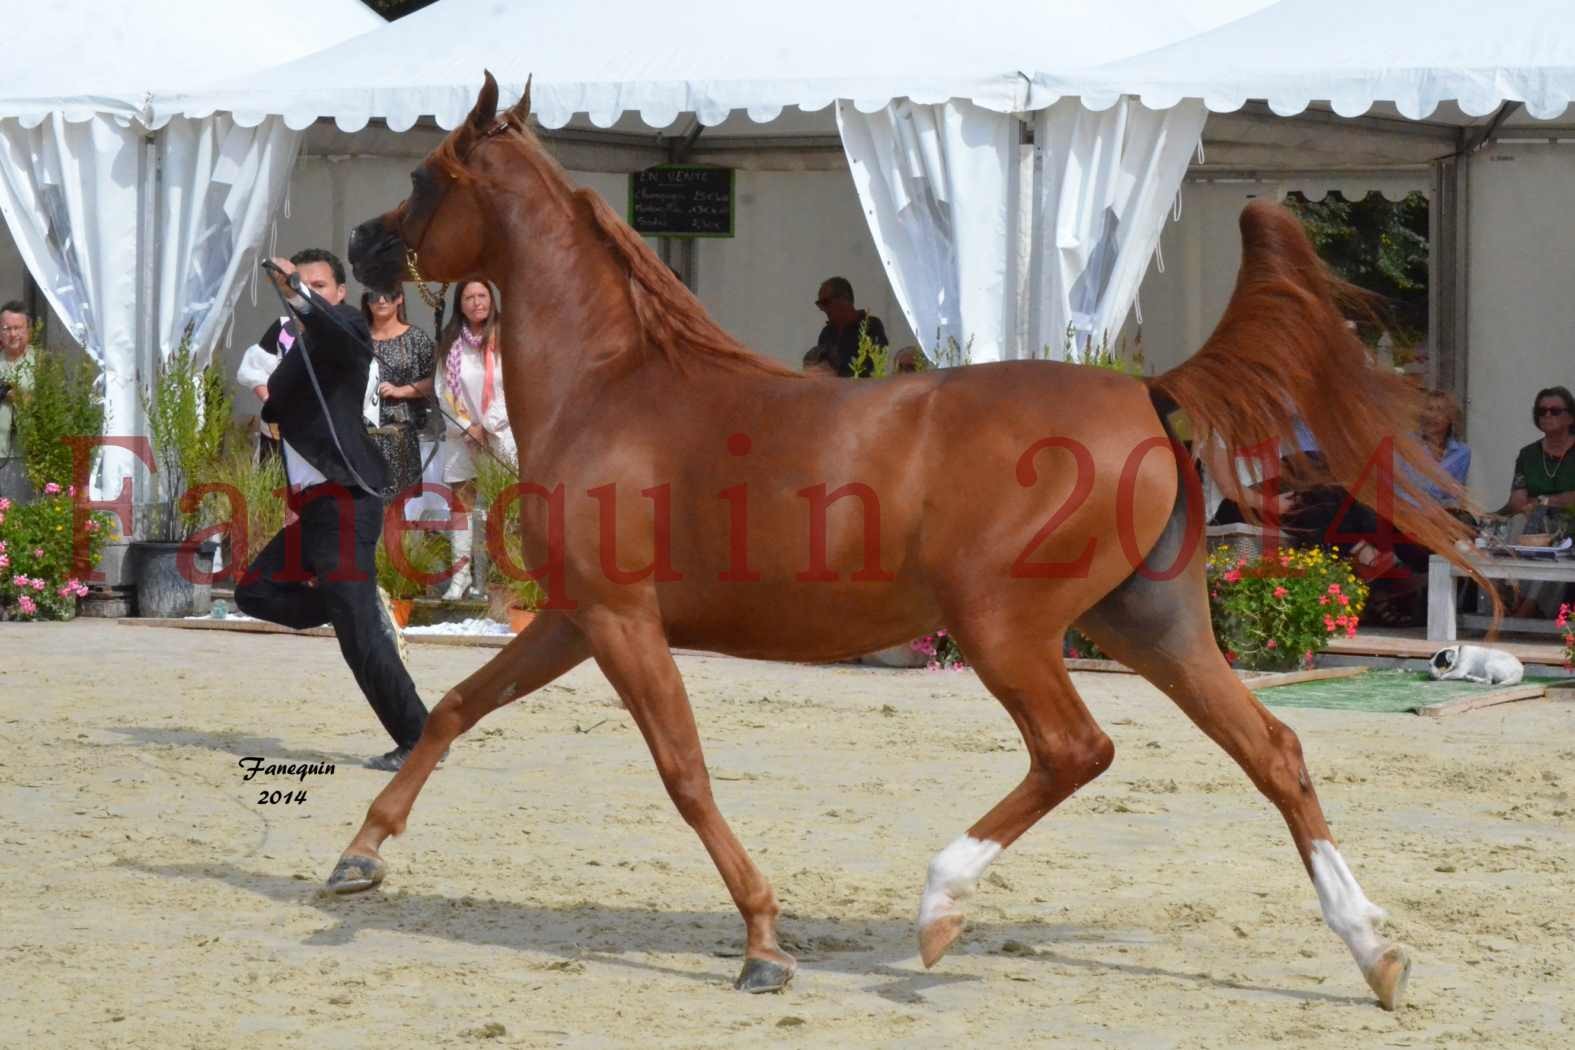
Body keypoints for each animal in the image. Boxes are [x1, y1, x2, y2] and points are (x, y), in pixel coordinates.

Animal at [338, 73, 1480, 1007]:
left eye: (427, 173)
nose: (357, 248)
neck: (612, 387)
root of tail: (1149, 394)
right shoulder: (574, 618)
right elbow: (455, 707)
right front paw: (358, 856)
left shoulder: (621, 621)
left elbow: (683, 771)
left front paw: (764, 943)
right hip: (1151, 625)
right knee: (1273, 751)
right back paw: (1374, 951)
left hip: (1004, 627)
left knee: (1076, 749)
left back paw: (938, 908)